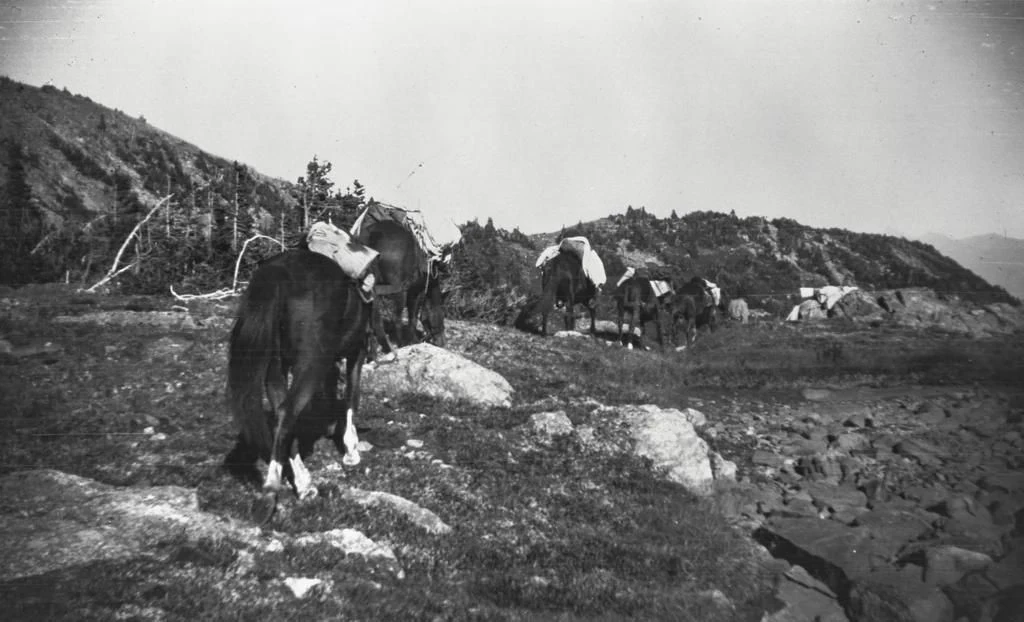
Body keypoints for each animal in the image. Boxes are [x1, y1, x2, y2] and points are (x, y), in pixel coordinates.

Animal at [225, 249, 371, 520]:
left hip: (276, 366)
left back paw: (303, 484)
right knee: (287, 412)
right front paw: (350, 449)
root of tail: (279, 272)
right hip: (310, 362)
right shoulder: (357, 351)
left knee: (283, 415)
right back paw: (271, 491)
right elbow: (351, 398)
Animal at [354, 219, 447, 349]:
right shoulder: (415, 292)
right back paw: (400, 343)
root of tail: (371, 235)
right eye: (442, 314)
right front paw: (413, 340)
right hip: (399, 291)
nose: (442, 342)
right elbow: (413, 317)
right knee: (396, 318)